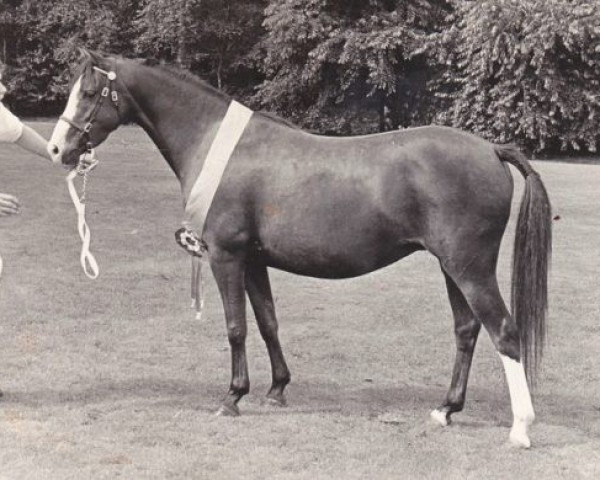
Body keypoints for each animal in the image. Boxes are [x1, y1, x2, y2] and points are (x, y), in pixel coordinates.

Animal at [49, 48, 552, 446]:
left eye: (89, 93)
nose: (57, 150)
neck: (217, 145)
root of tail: (491, 149)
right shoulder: (254, 261)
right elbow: (268, 322)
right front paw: (276, 390)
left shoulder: (226, 256)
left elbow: (236, 327)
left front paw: (232, 396)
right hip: (452, 268)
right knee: (467, 331)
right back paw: (446, 409)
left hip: (470, 268)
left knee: (504, 332)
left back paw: (521, 429)